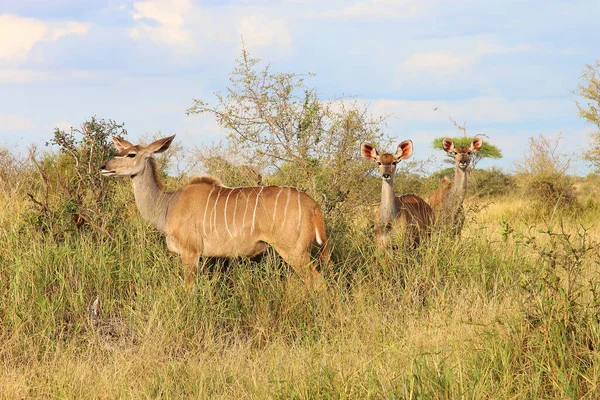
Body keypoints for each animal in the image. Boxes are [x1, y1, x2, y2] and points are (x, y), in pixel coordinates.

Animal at [101, 136, 330, 290]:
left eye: (131, 154)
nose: (103, 166)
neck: (169, 204)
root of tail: (314, 206)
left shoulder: (190, 252)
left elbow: (189, 288)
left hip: (294, 252)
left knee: (318, 282)